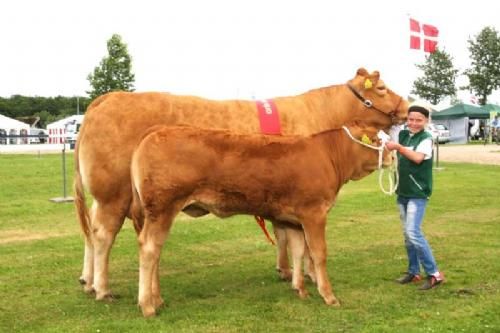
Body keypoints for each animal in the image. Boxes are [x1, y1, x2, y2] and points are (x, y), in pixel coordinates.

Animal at [129, 123, 390, 316]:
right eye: (375, 140)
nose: (391, 155)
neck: (327, 155)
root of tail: (157, 130)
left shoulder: (292, 219)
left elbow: (298, 251)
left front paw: (300, 289)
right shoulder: (314, 213)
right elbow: (318, 253)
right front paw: (328, 295)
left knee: (156, 250)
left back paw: (157, 299)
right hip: (162, 208)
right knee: (149, 248)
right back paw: (147, 305)